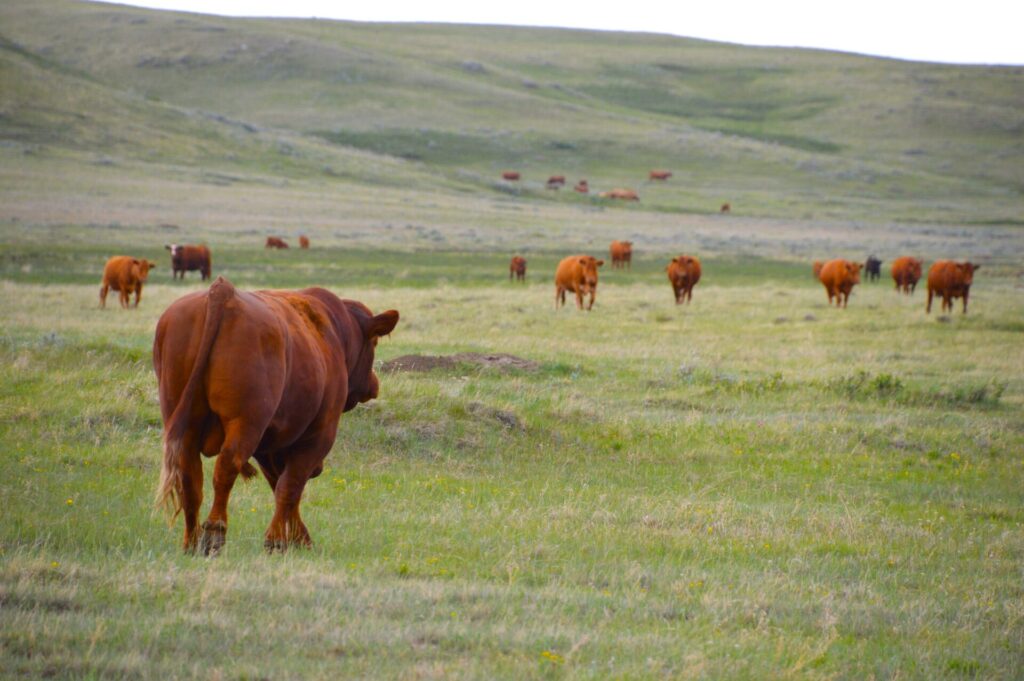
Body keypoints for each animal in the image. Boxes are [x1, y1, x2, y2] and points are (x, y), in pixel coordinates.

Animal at [153, 276, 397, 552]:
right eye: (374, 342)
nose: (373, 384)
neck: (335, 332)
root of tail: (223, 292)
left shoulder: (269, 446)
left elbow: (281, 485)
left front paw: (297, 537)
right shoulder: (318, 436)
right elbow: (290, 485)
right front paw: (279, 539)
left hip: (185, 424)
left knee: (190, 478)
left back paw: (192, 543)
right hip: (246, 423)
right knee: (227, 466)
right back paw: (215, 531)